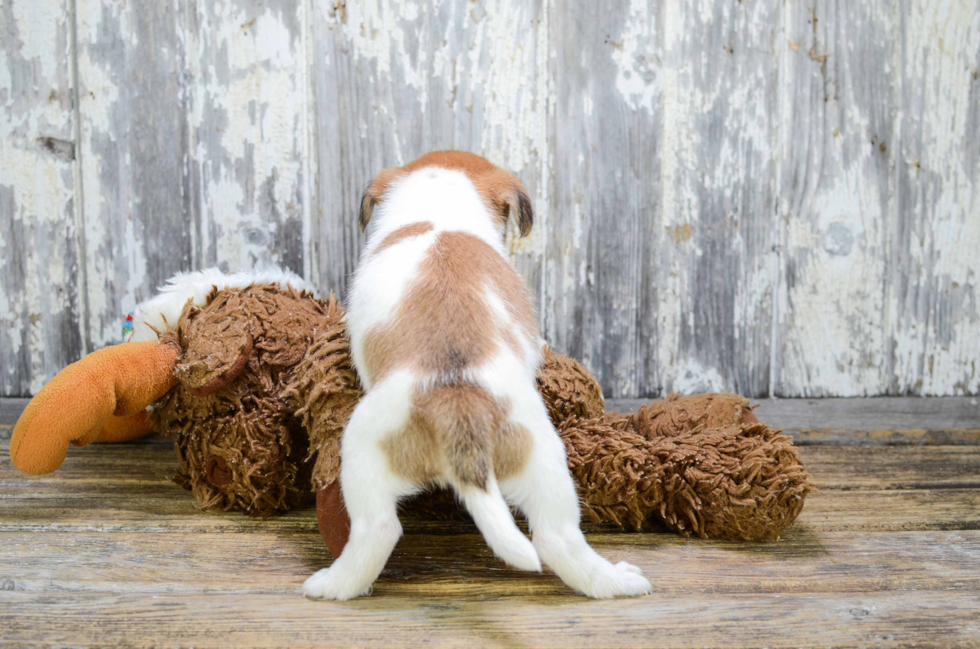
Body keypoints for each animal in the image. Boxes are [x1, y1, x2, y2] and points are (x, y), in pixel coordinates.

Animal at [300, 151, 652, 596]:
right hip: (541, 457)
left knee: (377, 531)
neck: (437, 208)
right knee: (557, 538)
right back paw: (616, 581)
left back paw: (331, 584)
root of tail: (457, 401)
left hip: (364, 450)